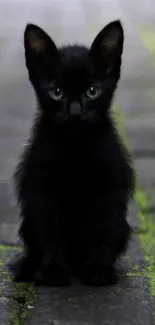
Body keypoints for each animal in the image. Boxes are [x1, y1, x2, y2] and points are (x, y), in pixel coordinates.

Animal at [10, 20, 135, 284]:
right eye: (56, 92)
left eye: (92, 91)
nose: (76, 112)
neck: (76, 146)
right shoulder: (41, 188)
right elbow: (49, 232)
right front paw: (54, 271)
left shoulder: (110, 185)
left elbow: (103, 229)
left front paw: (98, 269)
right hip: (28, 222)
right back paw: (29, 268)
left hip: (123, 226)